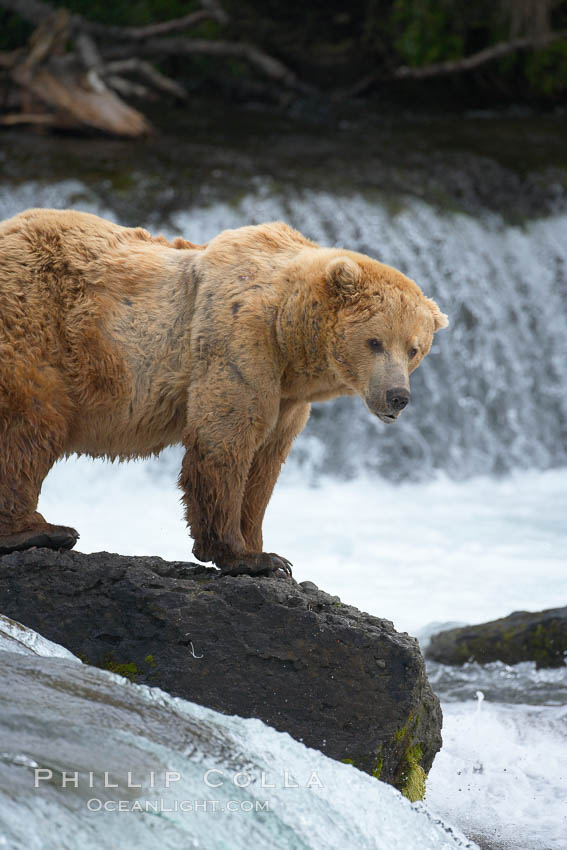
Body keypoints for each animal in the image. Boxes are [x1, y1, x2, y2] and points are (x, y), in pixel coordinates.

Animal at [1, 208, 448, 572]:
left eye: (414, 349)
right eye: (375, 341)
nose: (397, 396)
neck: (289, 335)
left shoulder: (287, 397)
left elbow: (265, 462)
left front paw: (264, 546)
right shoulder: (240, 341)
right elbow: (225, 440)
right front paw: (248, 556)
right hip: (37, 325)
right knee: (32, 424)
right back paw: (44, 530)